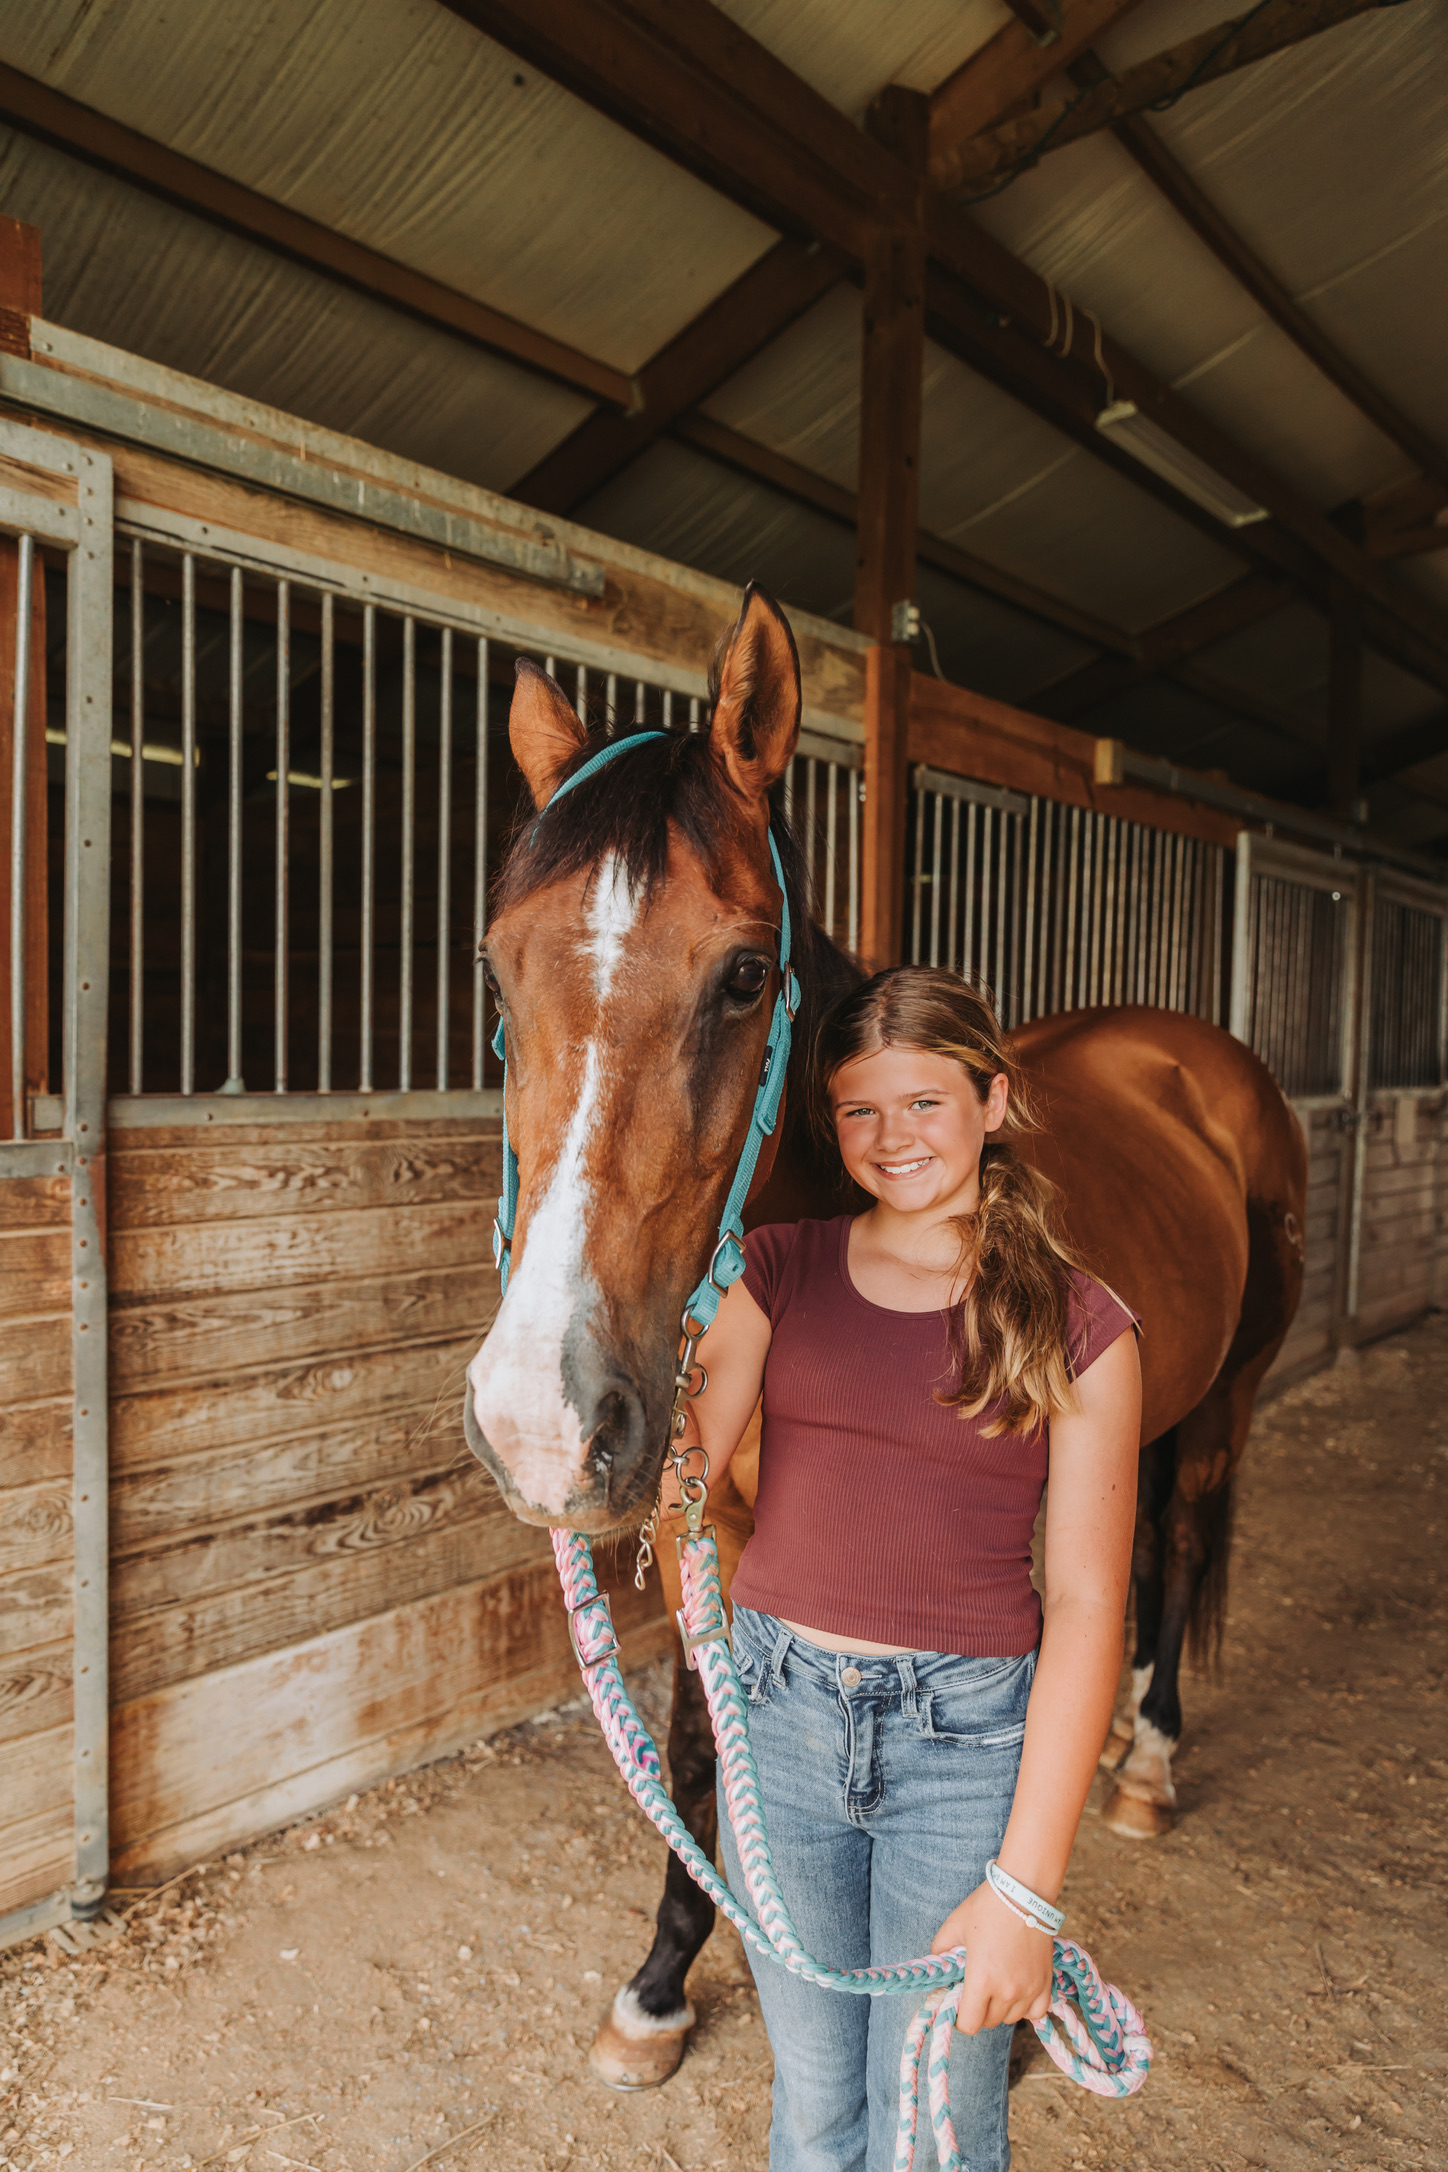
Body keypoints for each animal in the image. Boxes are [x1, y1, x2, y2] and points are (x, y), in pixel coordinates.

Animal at [463, 584, 1307, 2091]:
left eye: (746, 974)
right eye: (499, 976)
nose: (541, 1423)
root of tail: (1197, 1057)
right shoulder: (702, 1520)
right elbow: (699, 1748)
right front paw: (662, 1984)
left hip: (1228, 1402)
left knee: (1184, 1534)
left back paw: (1147, 1762)